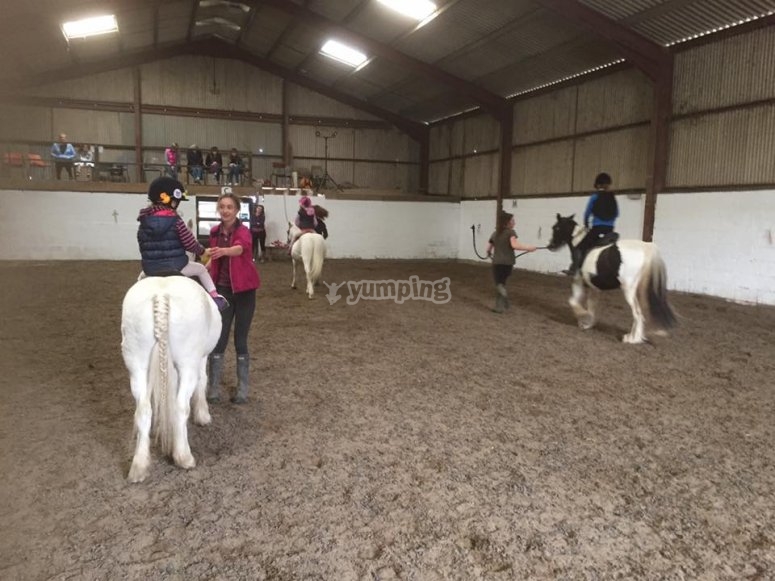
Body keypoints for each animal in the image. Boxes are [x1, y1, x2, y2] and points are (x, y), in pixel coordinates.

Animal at [121, 275, 222, 482]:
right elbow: (203, 380)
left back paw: (139, 467)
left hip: (136, 364)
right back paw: (184, 456)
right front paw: (203, 416)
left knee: (143, 410)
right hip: (188, 364)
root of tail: (161, 295)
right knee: (180, 406)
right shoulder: (200, 358)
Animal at [547, 213, 676, 344]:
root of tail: (645, 246)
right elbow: (591, 304)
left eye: (556, 228)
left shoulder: (577, 282)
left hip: (628, 291)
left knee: (637, 313)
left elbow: (572, 301)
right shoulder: (594, 287)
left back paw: (631, 339)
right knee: (641, 313)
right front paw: (588, 323)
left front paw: (584, 318)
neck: (580, 244)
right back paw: (636, 337)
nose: (550, 246)